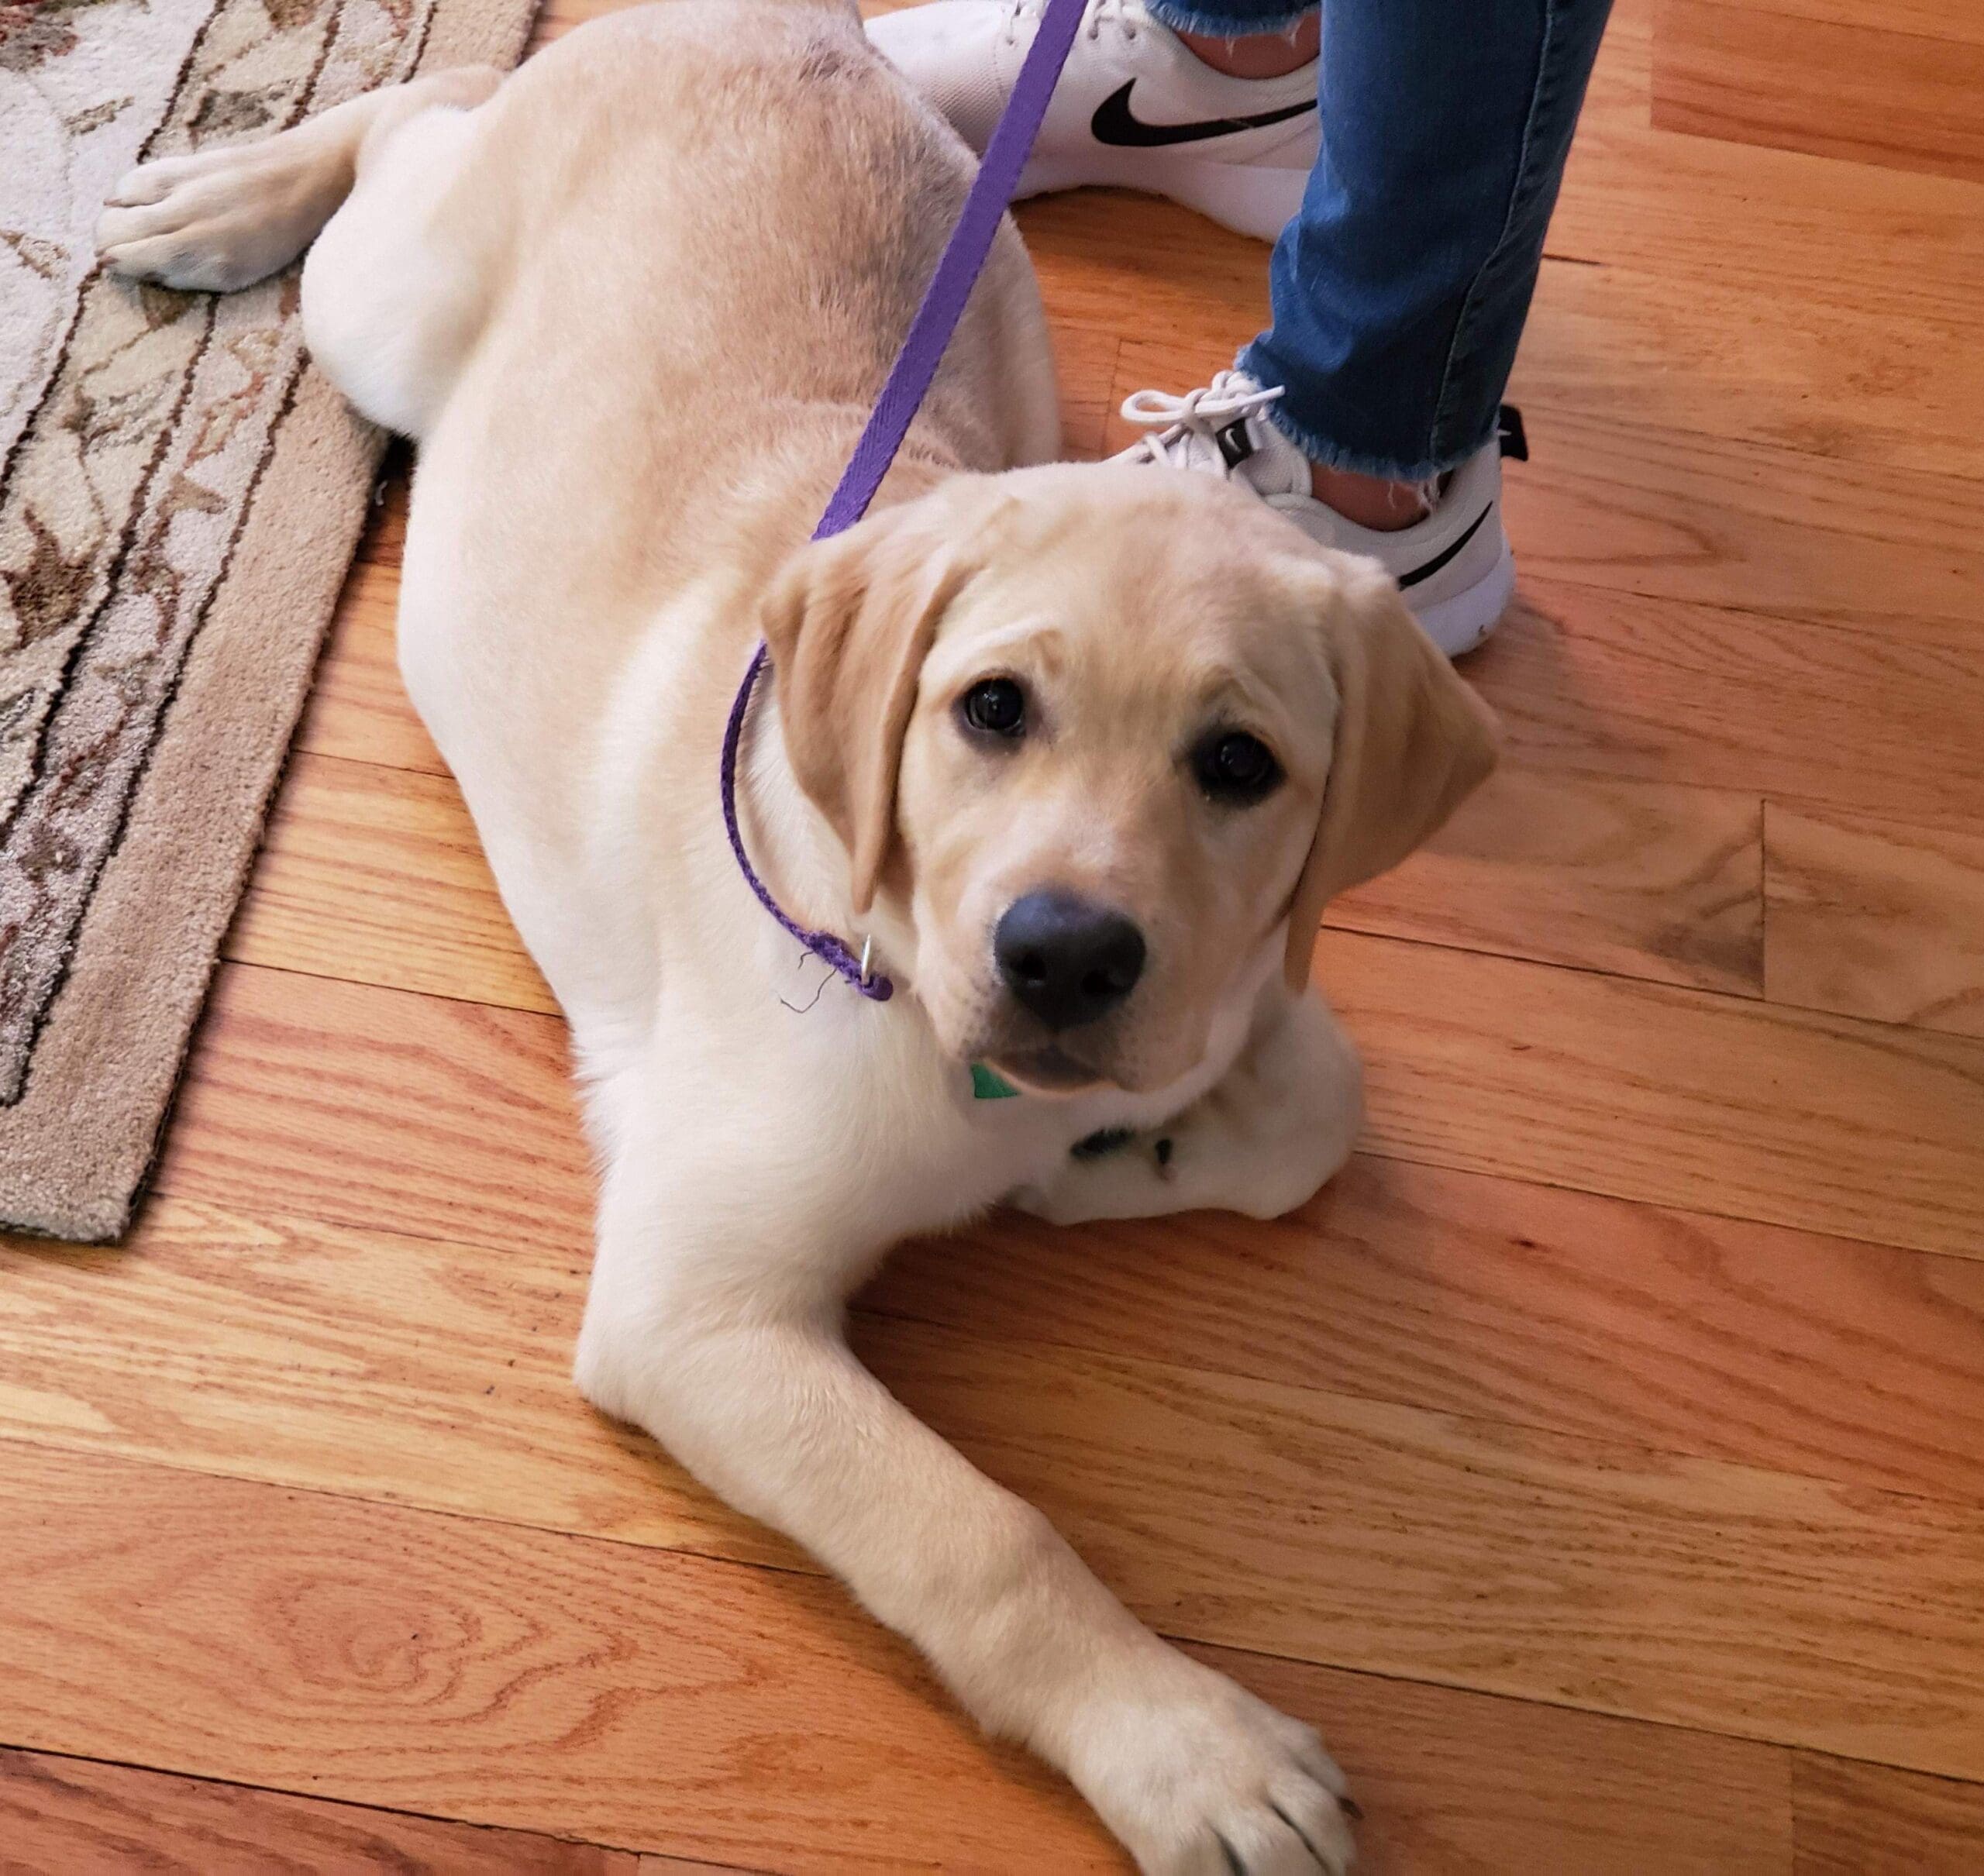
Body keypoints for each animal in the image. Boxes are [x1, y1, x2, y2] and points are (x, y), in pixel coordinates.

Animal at [93, 7, 1492, 1864]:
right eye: (990, 709)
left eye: (1239, 767)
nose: (1062, 957)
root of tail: (780, 21)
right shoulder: (692, 1307)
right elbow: (977, 1530)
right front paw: (1188, 1749)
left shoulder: (1234, 977)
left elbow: (1318, 1103)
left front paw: (1111, 1167)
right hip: (387, 313)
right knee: (415, 117)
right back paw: (225, 194)